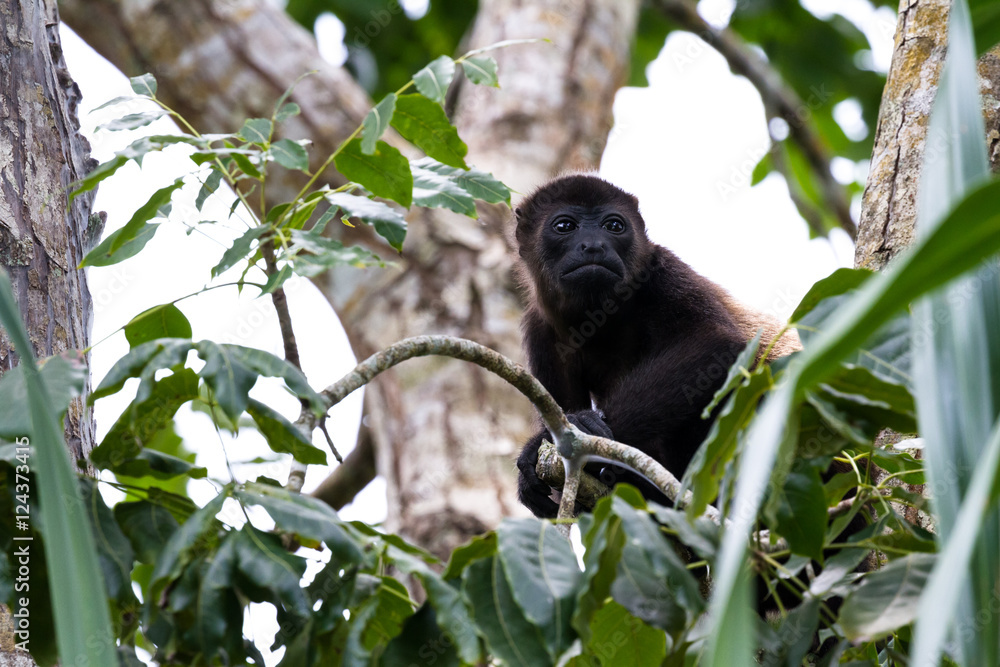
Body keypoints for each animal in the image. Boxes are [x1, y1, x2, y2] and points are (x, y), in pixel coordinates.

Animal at [512, 173, 800, 517]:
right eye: (564, 226)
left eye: (614, 226)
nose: (594, 245)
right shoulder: (540, 330)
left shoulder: (662, 271)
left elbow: (715, 342)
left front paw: (578, 433)